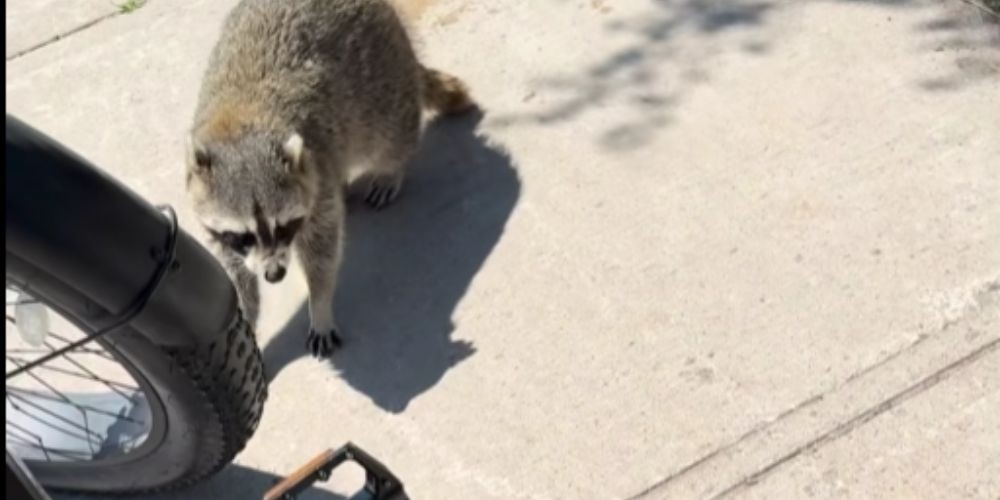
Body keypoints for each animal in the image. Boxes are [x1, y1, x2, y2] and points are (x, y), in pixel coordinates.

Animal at [185, 0, 474, 357]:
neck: (240, 125)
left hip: (380, 80)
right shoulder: (209, 211)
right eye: (243, 236)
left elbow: (321, 252)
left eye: (283, 227)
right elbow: (232, 273)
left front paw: (319, 306)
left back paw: (392, 167)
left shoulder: (316, 176)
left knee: (389, 134)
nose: (274, 274)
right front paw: (242, 322)